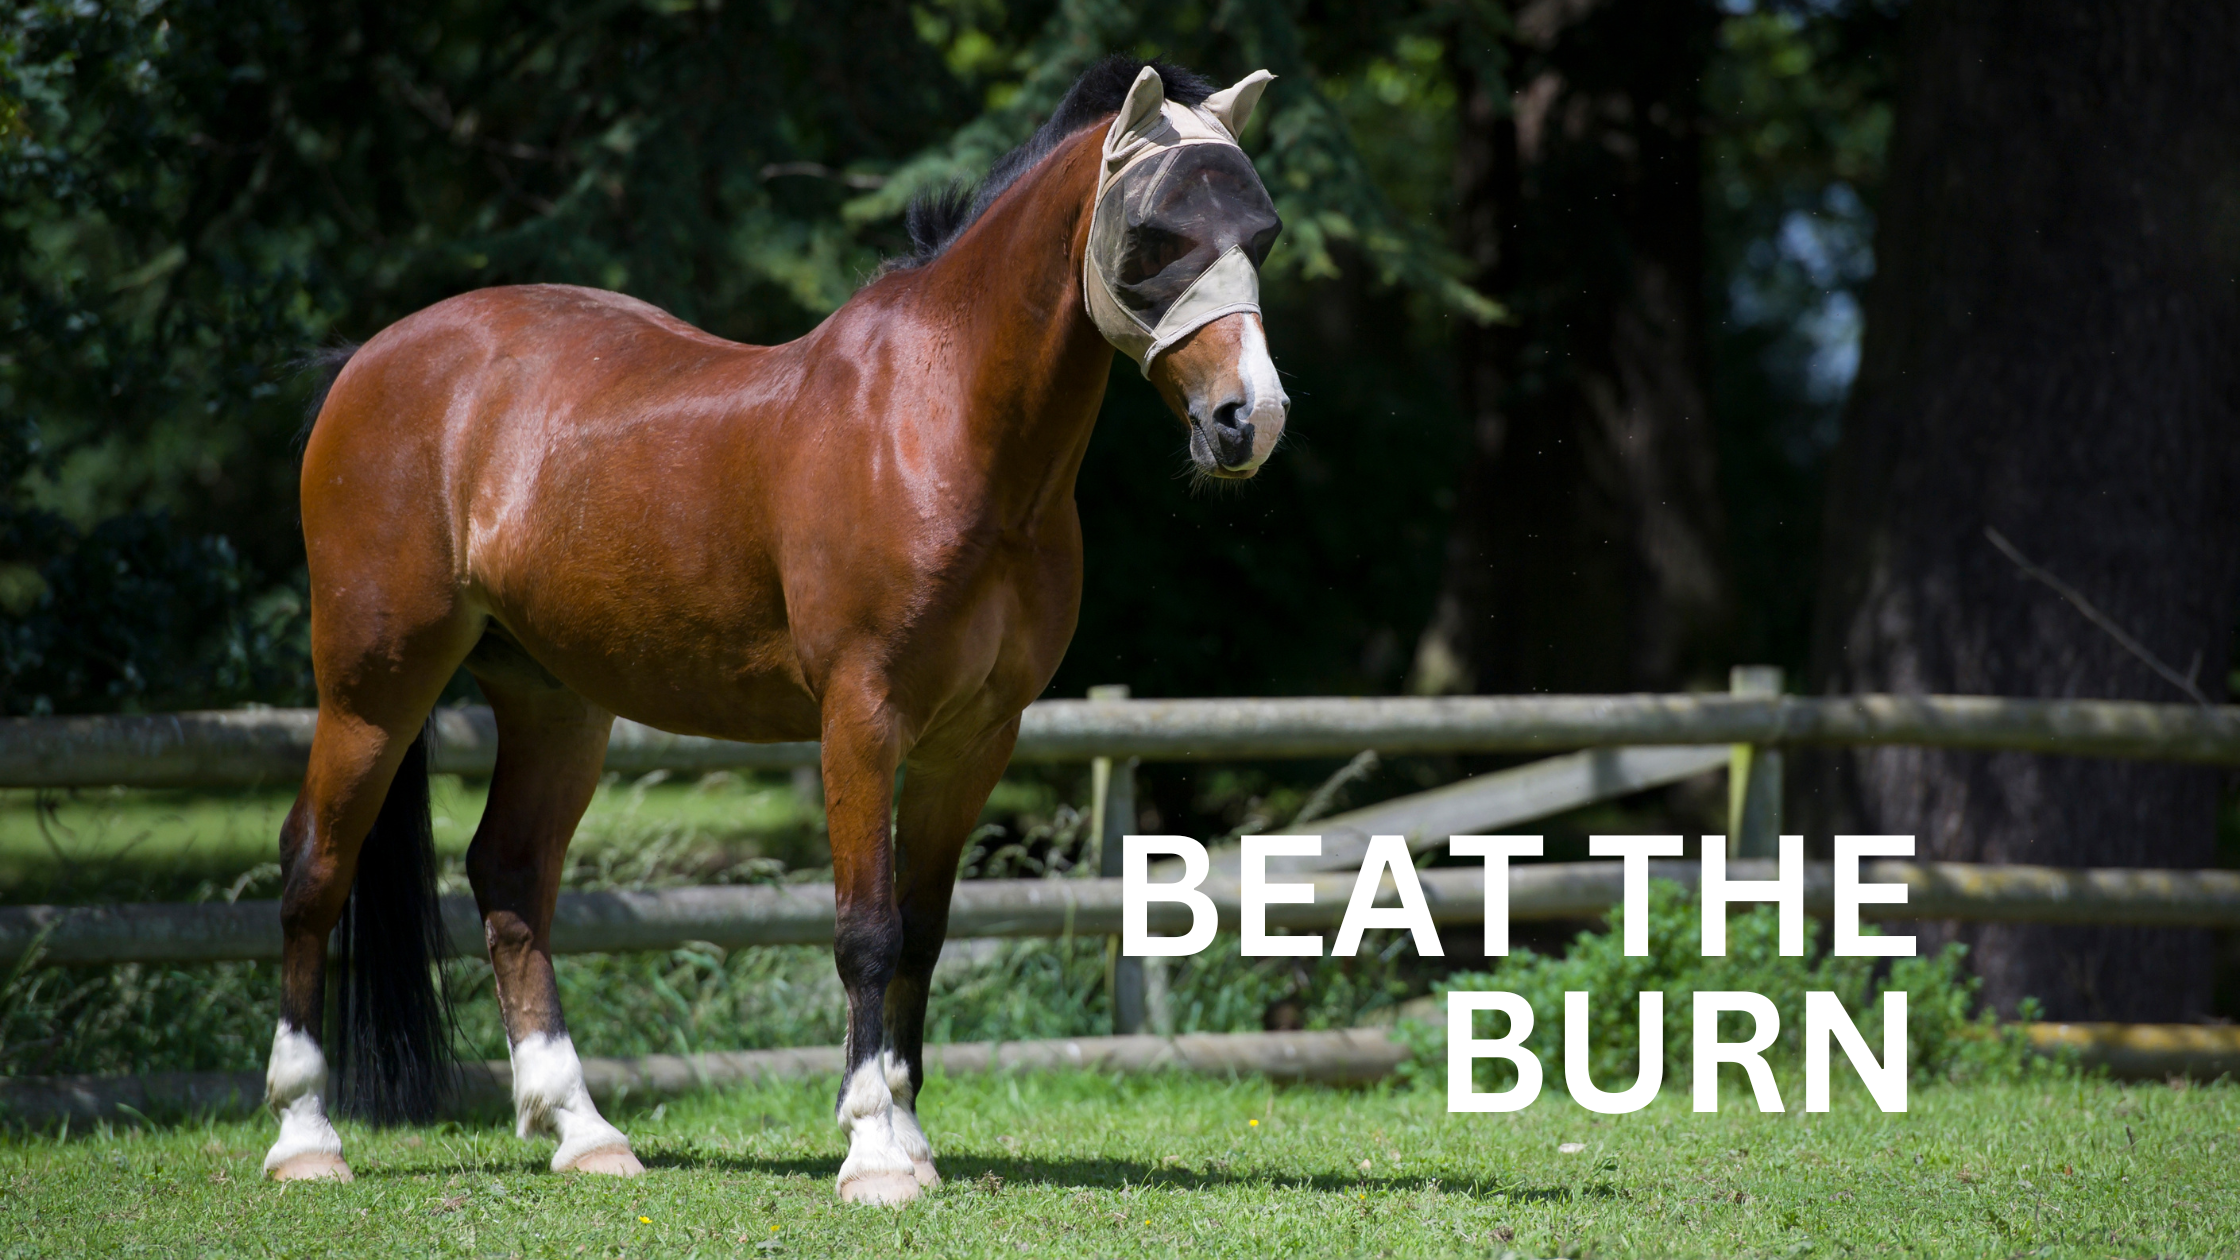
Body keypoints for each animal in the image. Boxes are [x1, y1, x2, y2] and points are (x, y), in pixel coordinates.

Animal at [257, 53, 1281, 1201]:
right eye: (1150, 237)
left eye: (1262, 235)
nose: (1248, 420)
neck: (940, 425)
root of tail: (364, 362)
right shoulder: (861, 717)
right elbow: (867, 929)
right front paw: (874, 1150)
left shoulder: (975, 739)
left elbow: (924, 932)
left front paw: (906, 1133)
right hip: (372, 684)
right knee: (314, 868)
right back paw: (306, 1138)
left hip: (552, 700)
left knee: (509, 877)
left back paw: (583, 1132)